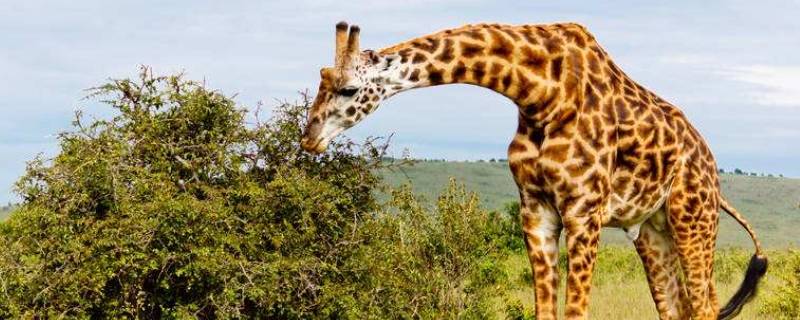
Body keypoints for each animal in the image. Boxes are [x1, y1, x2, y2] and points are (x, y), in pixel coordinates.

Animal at [300, 21, 768, 318]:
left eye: (349, 89)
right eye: (320, 79)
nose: (309, 138)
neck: (539, 92)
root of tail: (711, 169)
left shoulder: (584, 212)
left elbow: (576, 312)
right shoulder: (536, 211)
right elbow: (545, 310)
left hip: (693, 218)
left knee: (704, 305)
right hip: (654, 230)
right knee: (679, 307)